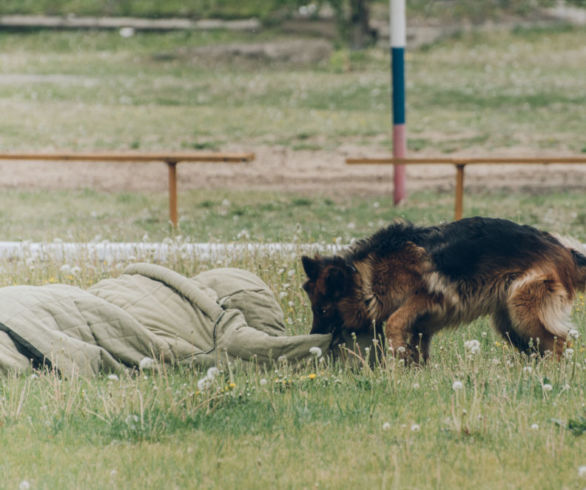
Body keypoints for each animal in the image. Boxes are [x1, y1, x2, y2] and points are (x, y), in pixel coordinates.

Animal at [302, 218, 584, 364]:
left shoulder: (427, 298)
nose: (312, 337)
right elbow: (417, 351)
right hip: (509, 323)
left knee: (560, 343)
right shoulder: (421, 326)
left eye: (322, 309)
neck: (368, 274)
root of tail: (563, 248)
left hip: (523, 309)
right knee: (539, 347)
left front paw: (395, 370)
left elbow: (394, 323)